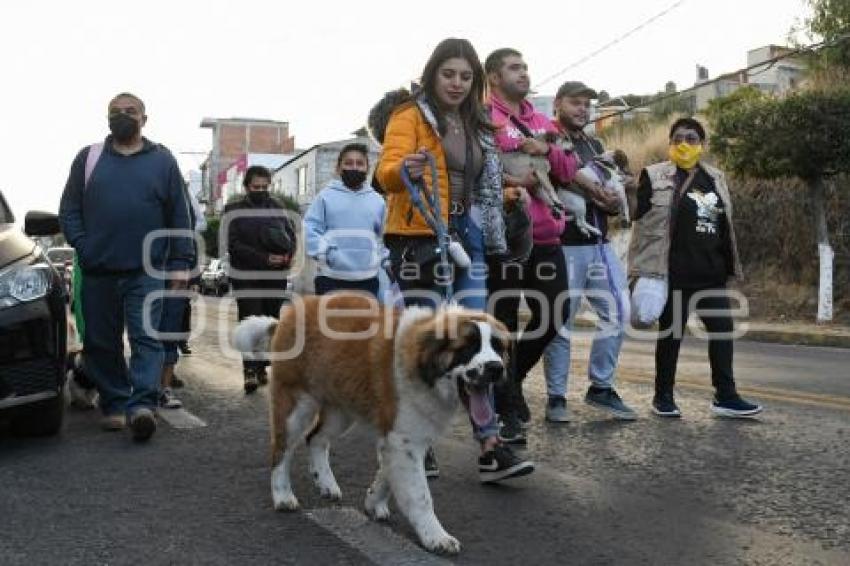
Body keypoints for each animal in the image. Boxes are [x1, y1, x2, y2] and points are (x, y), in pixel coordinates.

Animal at [232, 296, 506, 556]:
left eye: (498, 348)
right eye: (467, 348)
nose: (496, 368)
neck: (422, 365)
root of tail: (288, 315)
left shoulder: (400, 440)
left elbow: (387, 473)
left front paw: (374, 502)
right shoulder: (404, 440)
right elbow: (420, 495)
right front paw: (435, 536)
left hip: (340, 411)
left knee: (316, 439)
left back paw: (326, 483)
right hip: (296, 405)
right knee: (281, 450)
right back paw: (283, 496)